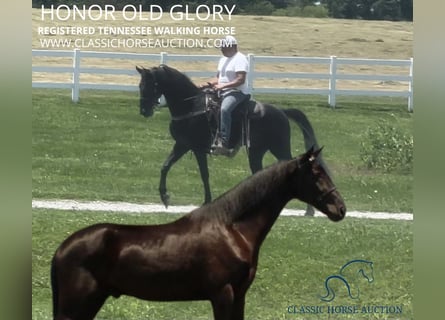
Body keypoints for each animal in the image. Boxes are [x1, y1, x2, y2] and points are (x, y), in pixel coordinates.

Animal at [51, 148, 344, 320]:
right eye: (316, 173)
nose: (340, 208)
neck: (232, 230)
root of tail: (62, 249)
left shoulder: (239, 295)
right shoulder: (222, 294)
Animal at [134, 64, 322, 215]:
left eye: (151, 85)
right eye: (140, 85)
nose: (144, 111)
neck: (192, 106)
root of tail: (281, 112)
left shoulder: (191, 146)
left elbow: (202, 174)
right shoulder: (185, 146)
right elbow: (168, 167)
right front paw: (166, 198)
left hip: (278, 148)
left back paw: (309, 210)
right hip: (257, 152)